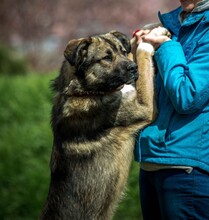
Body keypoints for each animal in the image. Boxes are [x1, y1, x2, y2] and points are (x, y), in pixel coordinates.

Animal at [38, 28, 168, 219]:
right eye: (106, 57)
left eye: (122, 51)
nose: (133, 68)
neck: (85, 91)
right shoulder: (144, 107)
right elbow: (143, 61)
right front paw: (147, 42)